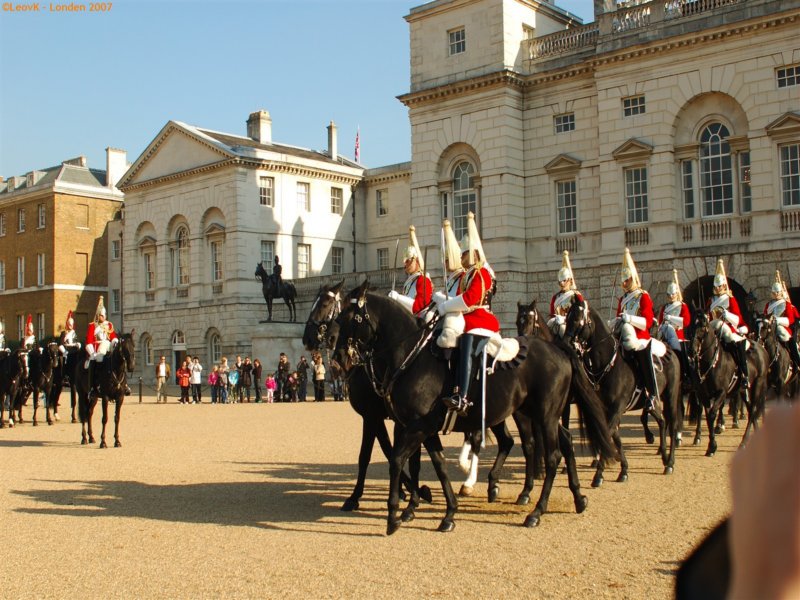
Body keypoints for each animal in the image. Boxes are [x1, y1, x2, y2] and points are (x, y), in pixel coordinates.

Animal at [334, 282, 616, 536]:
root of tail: (558, 347)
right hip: (540, 414)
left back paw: (536, 511)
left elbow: (395, 460)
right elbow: (438, 465)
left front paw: (394, 515)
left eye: (351, 317)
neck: (411, 357)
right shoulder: (423, 428)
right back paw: (577, 498)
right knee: (564, 442)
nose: (339, 359)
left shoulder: (414, 426)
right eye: (337, 317)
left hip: (544, 415)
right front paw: (447, 513)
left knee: (552, 455)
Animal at [560, 296, 680, 488]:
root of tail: (670, 351)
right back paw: (663, 455)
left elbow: (608, 434)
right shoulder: (606, 409)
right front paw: (623, 470)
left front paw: (598, 475)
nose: (564, 344)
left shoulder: (616, 408)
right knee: (662, 421)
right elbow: (614, 436)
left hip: (671, 395)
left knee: (673, 423)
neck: (608, 364)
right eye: (567, 318)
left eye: (578, 319)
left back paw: (670, 463)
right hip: (653, 401)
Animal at [688, 310, 768, 454]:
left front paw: (712, 445)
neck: (712, 362)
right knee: (750, 410)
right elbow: (707, 416)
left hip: (757, 385)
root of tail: (762, 349)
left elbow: (712, 414)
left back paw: (743, 442)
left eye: (703, 326)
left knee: (753, 410)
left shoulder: (722, 393)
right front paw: (710, 445)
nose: (692, 350)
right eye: (691, 325)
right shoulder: (703, 395)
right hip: (743, 390)